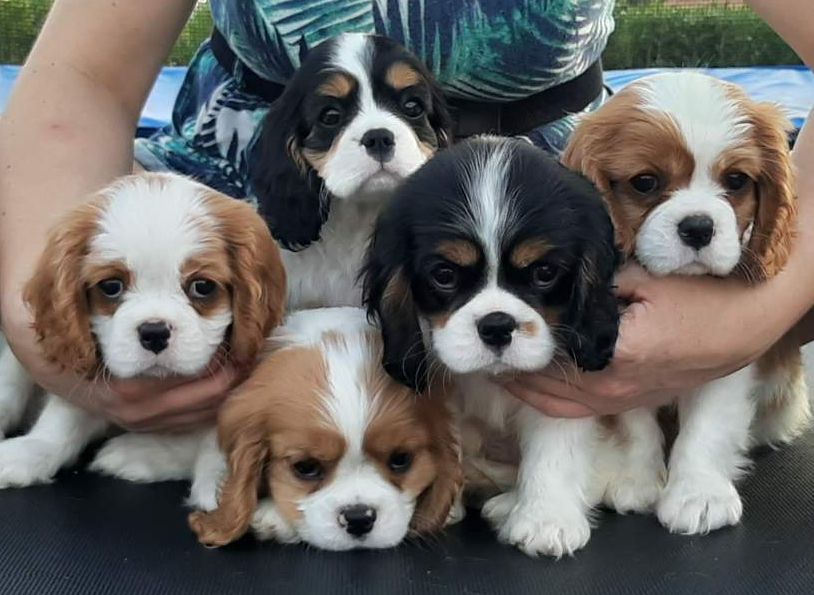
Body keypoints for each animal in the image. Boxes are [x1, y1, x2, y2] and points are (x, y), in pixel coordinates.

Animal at [0, 175, 286, 500]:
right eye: (111, 286)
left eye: (203, 286)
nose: (154, 332)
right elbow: (66, 415)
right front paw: (32, 452)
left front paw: (221, 482)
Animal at [366, 137, 620, 556]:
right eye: (444, 275)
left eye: (544, 272)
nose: (497, 325)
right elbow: (447, 445)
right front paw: (442, 504)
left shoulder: (562, 390)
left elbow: (554, 448)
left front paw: (546, 520)